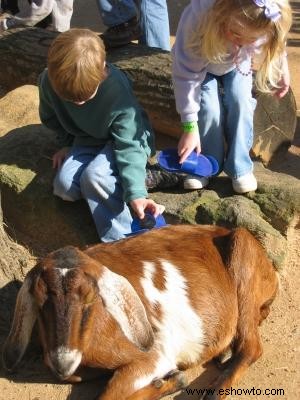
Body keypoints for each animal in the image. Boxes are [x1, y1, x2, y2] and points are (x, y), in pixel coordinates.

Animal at [2, 225, 278, 400]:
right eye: (39, 299)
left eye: (90, 296)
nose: (63, 361)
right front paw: (168, 380)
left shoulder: (153, 355)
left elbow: (110, 395)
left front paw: (172, 381)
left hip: (243, 256)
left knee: (252, 347)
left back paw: (212, 392)